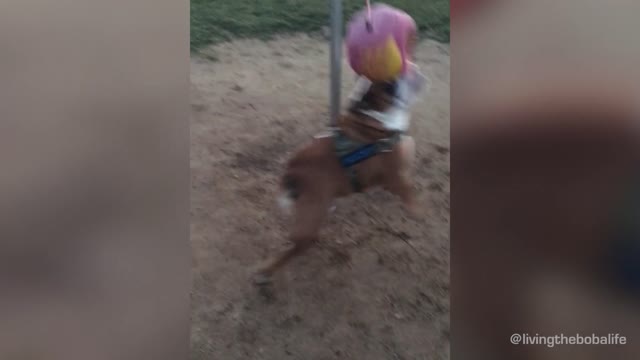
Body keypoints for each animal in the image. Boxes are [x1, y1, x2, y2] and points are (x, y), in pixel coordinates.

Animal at [252, 81, 422, 284]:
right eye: (387, 86)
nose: (395, 83)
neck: (371, 114)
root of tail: (292, 173)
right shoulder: (394, 176)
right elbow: (408, 191)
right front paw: (416, 211)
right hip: (311, 216)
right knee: (297, 246)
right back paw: (265, 272)